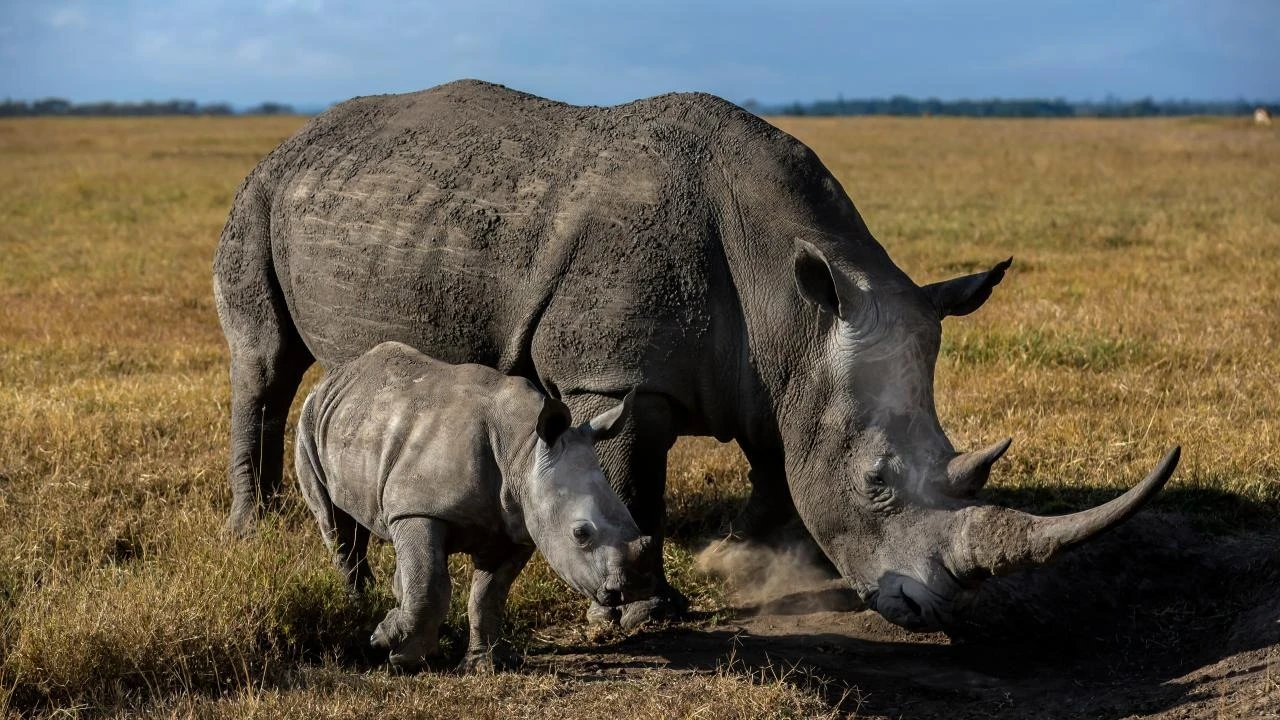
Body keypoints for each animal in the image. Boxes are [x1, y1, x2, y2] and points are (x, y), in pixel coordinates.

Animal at [290, 340, 650, 666]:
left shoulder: (518, 525)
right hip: (310, 420)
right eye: (580, 534)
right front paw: (395, 651)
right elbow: (430, 586)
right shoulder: (419, 509)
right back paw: (362, 610)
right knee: (337, 528)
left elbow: (488, 595)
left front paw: (483, 664)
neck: (524, 452)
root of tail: (337, 374)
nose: (631, 588)